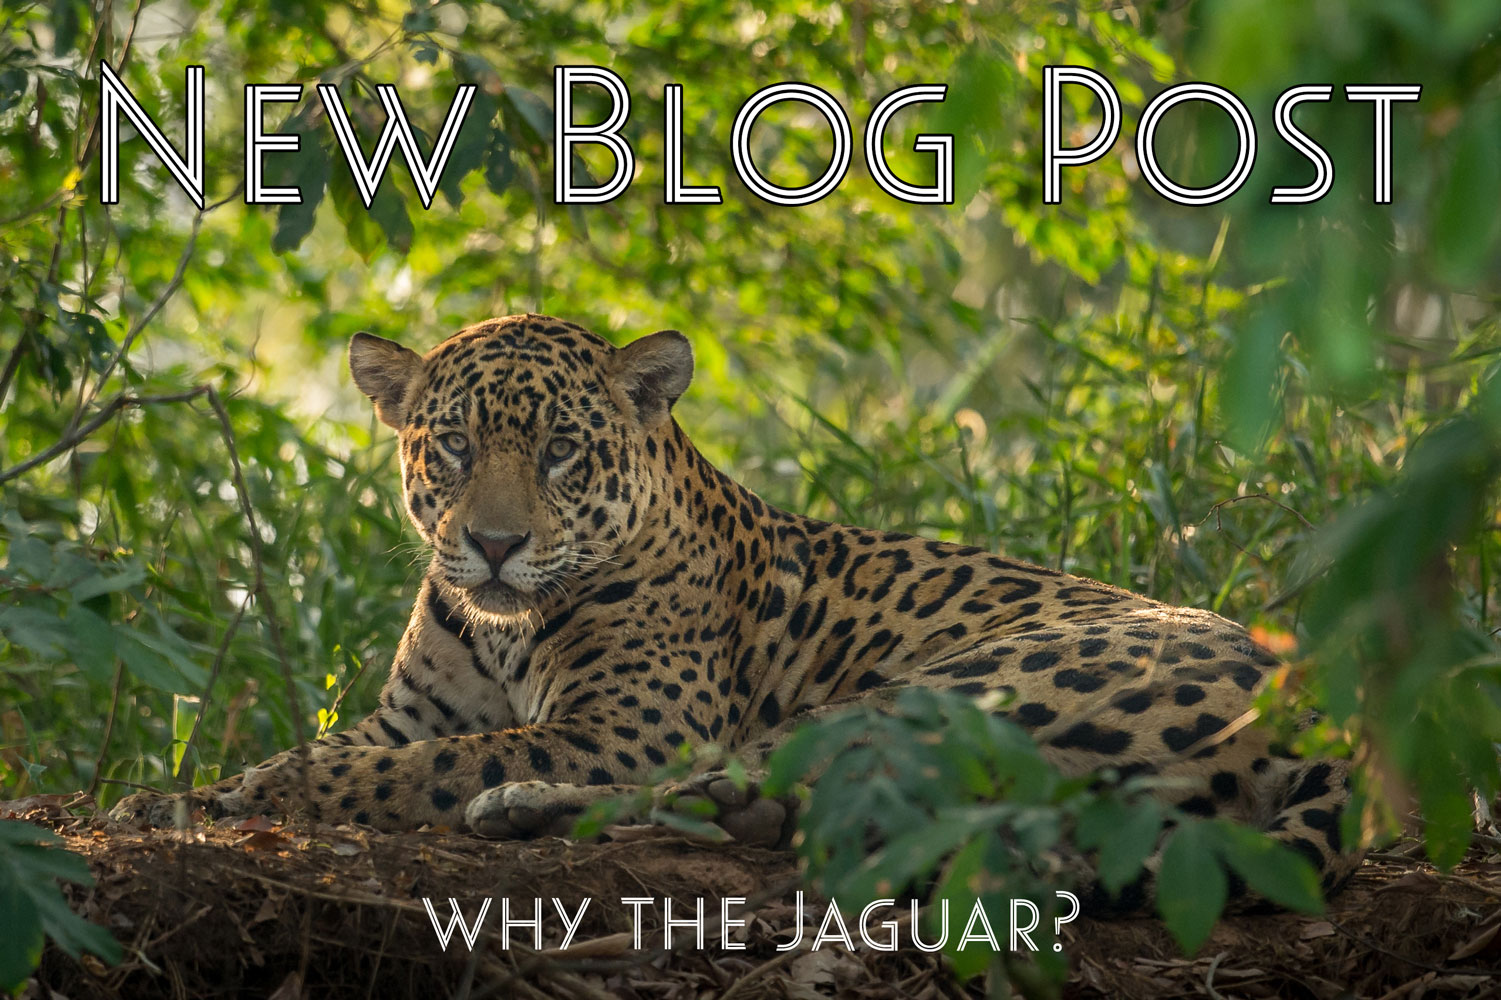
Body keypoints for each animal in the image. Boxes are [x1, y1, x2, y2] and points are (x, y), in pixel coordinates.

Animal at [112, 313, 1362, 903]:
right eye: (454, 445)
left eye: (561, 451)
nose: (495, 544)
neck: (505, 631)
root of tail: (1320, 719)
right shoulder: (408, 710)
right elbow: (350, 745)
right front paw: (169, 795)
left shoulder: (622, 725)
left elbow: (412, 767)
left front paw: (252, 796)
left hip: (949, 687)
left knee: (746, 787)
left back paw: (518, 807)